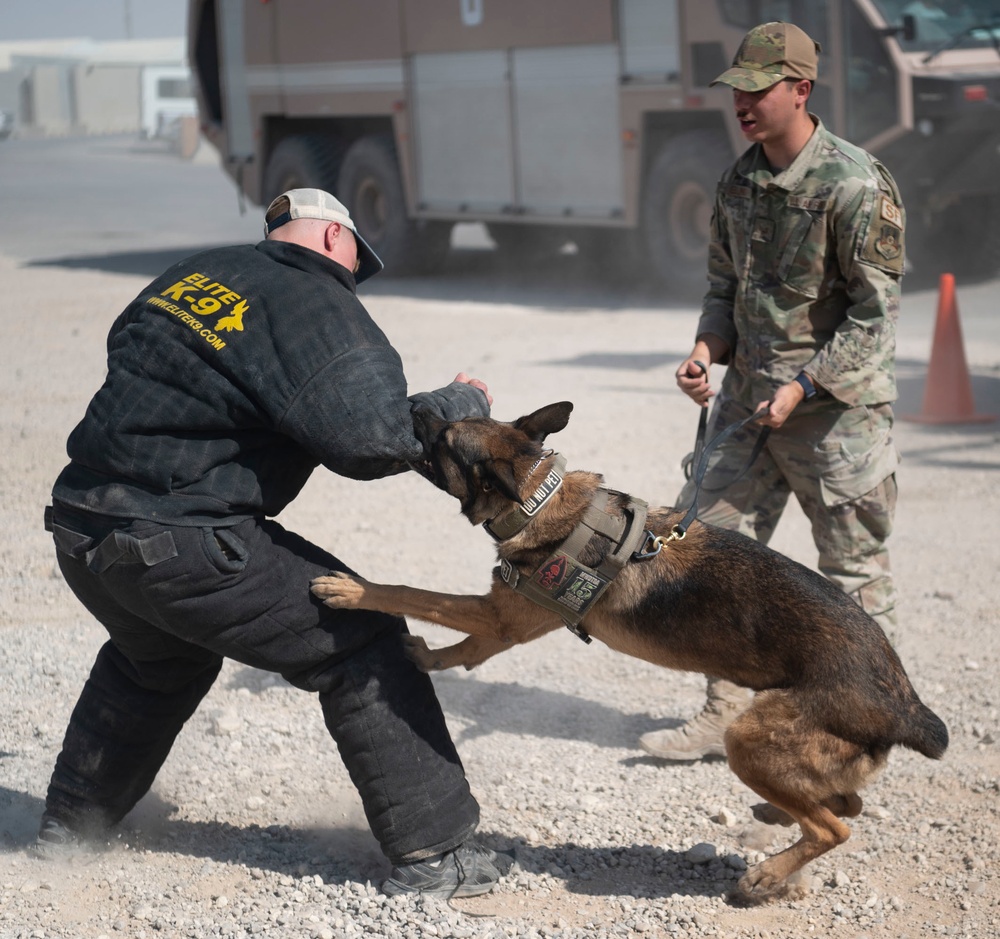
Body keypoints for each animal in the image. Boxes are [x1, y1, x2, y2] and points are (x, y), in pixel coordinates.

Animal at [312, 404, 944, 904]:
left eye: (444, 438)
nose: (416, 404)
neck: (539, 497)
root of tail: (907, 705)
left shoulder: (496, 616)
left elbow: (412, 593)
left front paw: (351, 589)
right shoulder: (504, 622)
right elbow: (463, 649)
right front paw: (423, 656)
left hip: (749, 739)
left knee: (835, 828)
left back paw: (765, 875)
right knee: (845, 804)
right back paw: (776, 815)